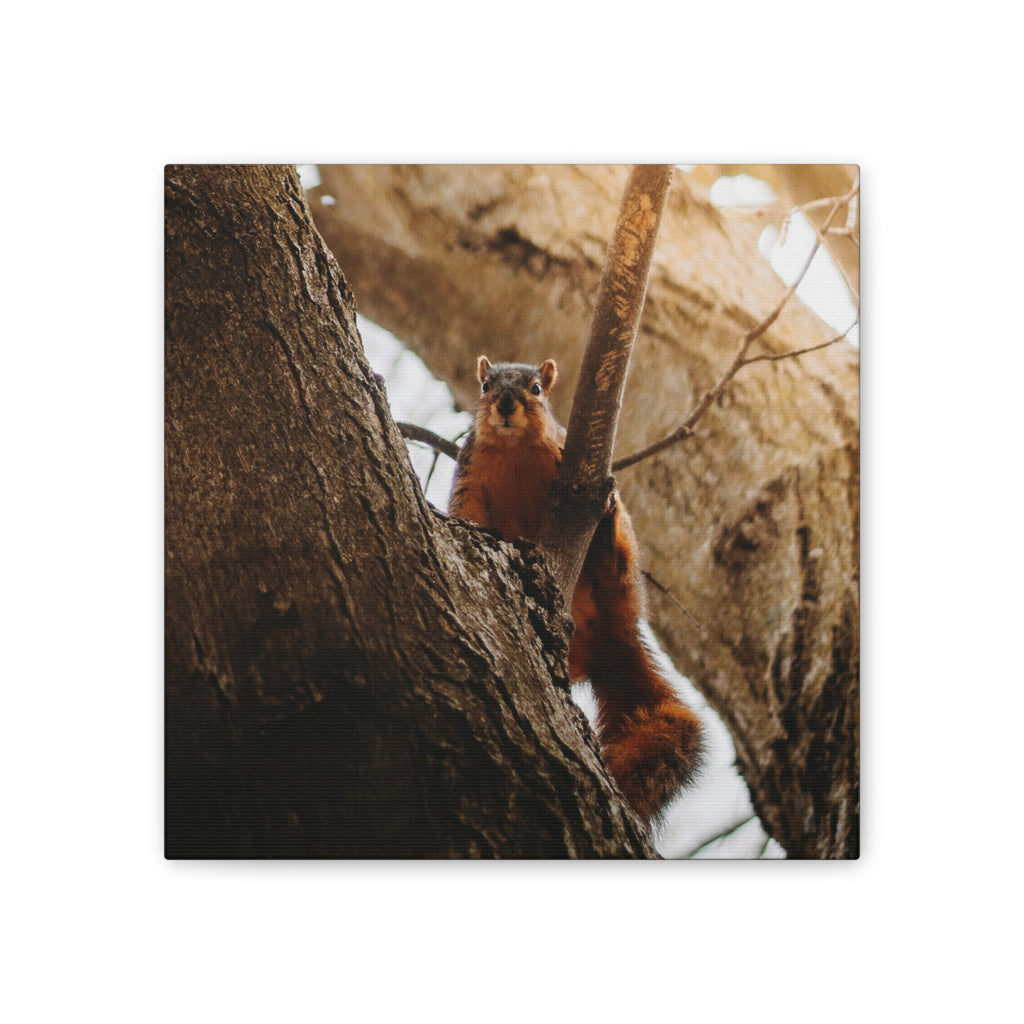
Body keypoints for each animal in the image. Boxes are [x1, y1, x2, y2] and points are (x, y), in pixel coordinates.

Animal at [450, 356, 702, 824]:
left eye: (536, 388)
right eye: (486, 386)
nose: (506, 404)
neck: (514, 451)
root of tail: (612, 637)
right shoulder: (470, 478)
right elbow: (469, 515)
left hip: (623, 583)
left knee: (615, 567)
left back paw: (607, 537)